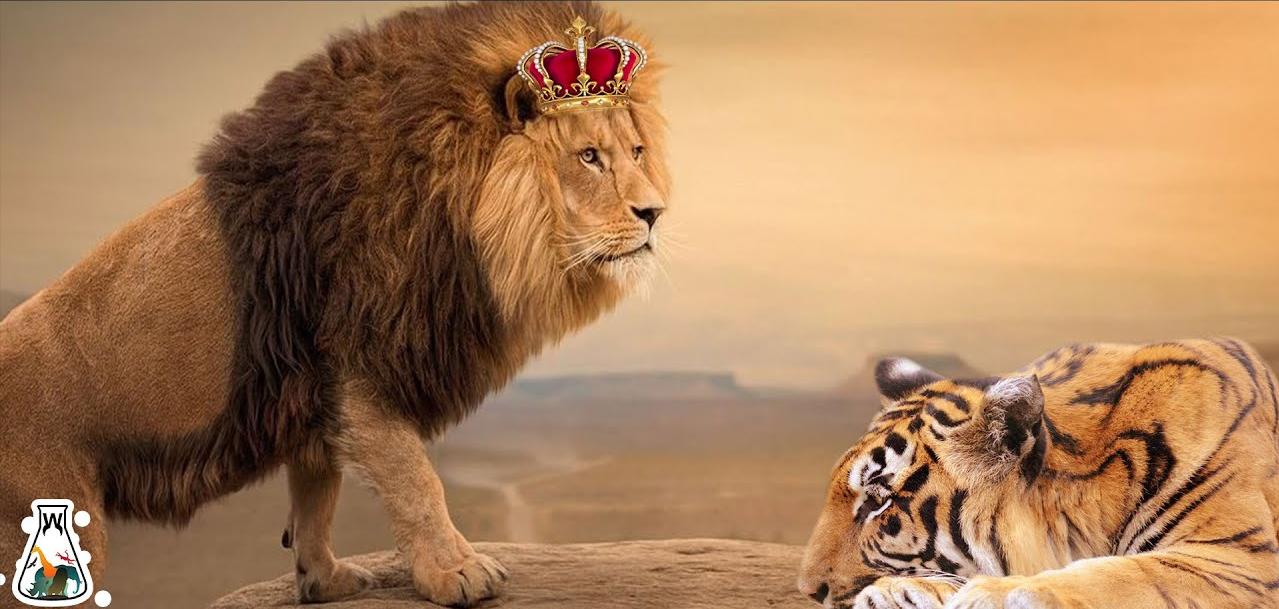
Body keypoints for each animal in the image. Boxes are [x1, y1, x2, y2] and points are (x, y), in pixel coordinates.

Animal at [797, 338, 1279, 609]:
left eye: (879, 502)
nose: (809, 591)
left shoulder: (1243, 558)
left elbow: (1123, 574)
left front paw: (994, 596)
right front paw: (899, 593)